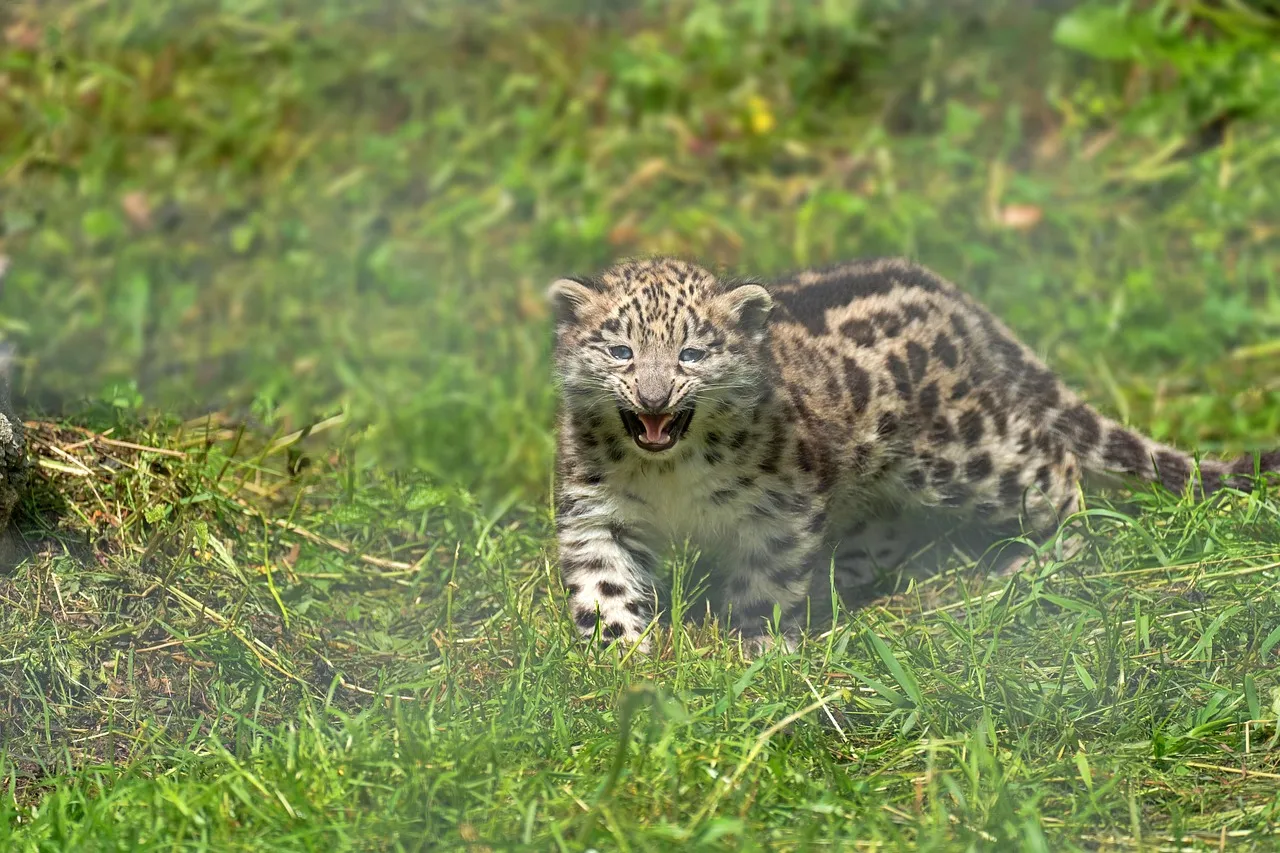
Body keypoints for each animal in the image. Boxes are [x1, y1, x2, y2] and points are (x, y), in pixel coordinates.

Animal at [547, 256, 1280, 652]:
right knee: (887, 524)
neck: (667, 472)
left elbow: (766, 580)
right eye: (621, 350)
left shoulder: (779, 506)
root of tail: (952, 293)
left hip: (966, 454)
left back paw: (1035, 564)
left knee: (1055, 466)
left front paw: (756, 648)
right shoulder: (596, 511)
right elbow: (604, 584)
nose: (653, 395)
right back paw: (840, 580)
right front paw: (620, 657)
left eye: (693, 353)